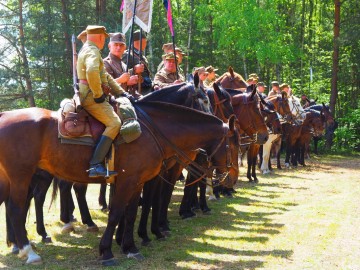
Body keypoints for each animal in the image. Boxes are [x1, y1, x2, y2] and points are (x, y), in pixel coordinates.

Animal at [0, 101, 236, 266]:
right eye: (232, 144)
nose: (231, 177)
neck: (151, 132)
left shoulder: (138, 182)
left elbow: (130, 213)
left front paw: (130, 247)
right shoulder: (127, 181)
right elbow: (116, 213)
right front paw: (106, 251)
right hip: (21, 176)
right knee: (16, 209)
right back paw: (29, 251)